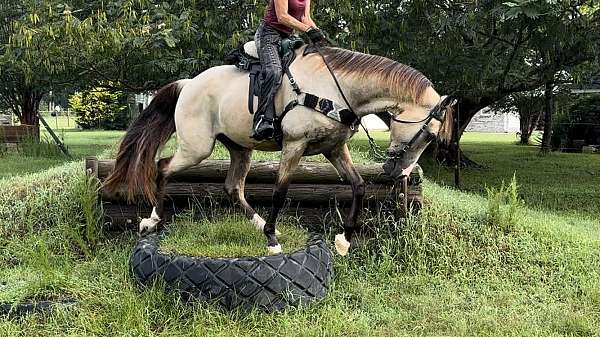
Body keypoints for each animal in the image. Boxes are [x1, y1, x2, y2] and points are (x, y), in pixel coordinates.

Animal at [105, 44, 458, 255]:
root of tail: (188, 84)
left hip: (239, 149)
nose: (399, 172)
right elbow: (279, 191)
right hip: (197, 148)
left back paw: (257, 223)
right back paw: (152, 219)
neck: (334, 89)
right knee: (162, 167)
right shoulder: (294, 145)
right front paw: (273, 240)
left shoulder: (334, 148)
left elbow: (358, 186)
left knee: (233, 187)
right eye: (429, 135)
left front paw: (344, 239)